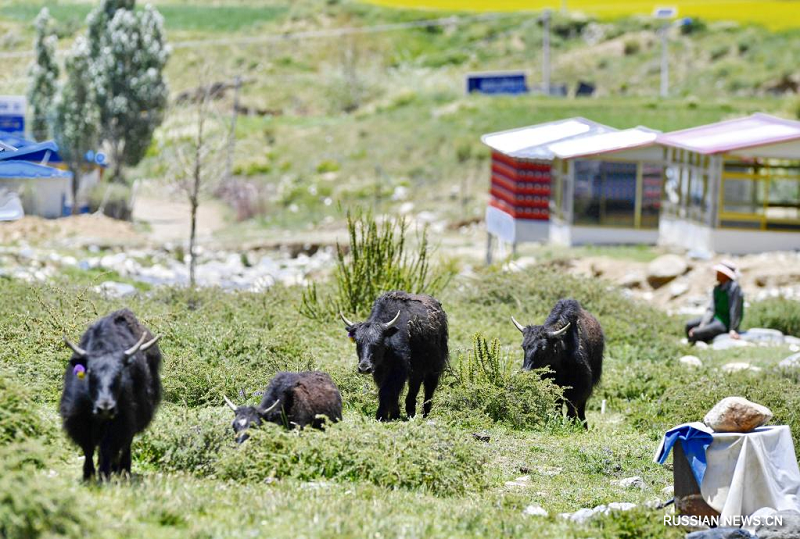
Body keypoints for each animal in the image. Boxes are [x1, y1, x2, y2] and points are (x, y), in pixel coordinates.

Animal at [58, 308, 162, 480]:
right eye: (91, 374)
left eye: (119, 375)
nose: (105, 408)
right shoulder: (79, 418)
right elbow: (88, 448)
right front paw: (88, 474)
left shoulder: (120, 421)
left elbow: (107, 447)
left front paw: (104, 474)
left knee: (125, 444)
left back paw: (123, 470)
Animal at [340, 292, 446, 422]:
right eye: (358, 342)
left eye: (378, 342)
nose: (364, 368)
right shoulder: (380, 372)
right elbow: (386, 390)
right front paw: (394, 414)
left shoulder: (399, 369)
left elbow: (388, 390)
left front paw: (381, 415)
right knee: (415, 384)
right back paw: (410, 411)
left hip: (434, 366)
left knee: (428, 386)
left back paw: (424, 413)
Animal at [510, 298, 604, 428]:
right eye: (523, 346)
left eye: (543, 348)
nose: (525, 372)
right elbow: (557, 407)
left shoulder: (579, 388)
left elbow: (572, 409)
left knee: (581, 409)